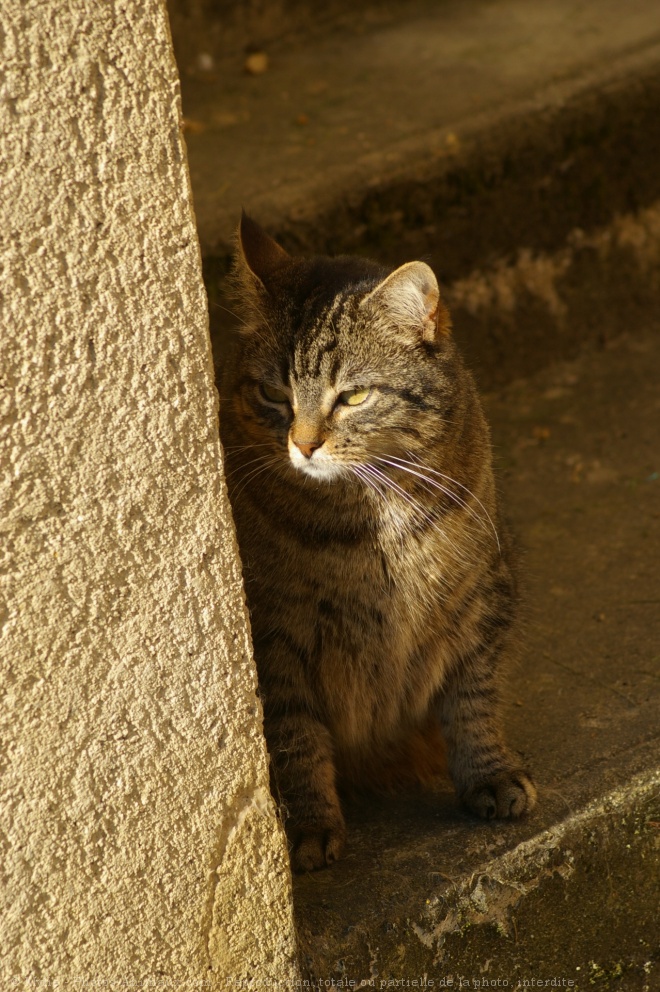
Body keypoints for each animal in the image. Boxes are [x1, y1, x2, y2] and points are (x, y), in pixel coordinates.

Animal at [222, 215, 536, 868]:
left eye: (353, 397)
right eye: (273, 395)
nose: (303, 444)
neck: (368, 519)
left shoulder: (484, 595)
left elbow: (475, 698)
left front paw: (489, 775)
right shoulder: (274, 637)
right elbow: (295, 737)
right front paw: (309, 825)